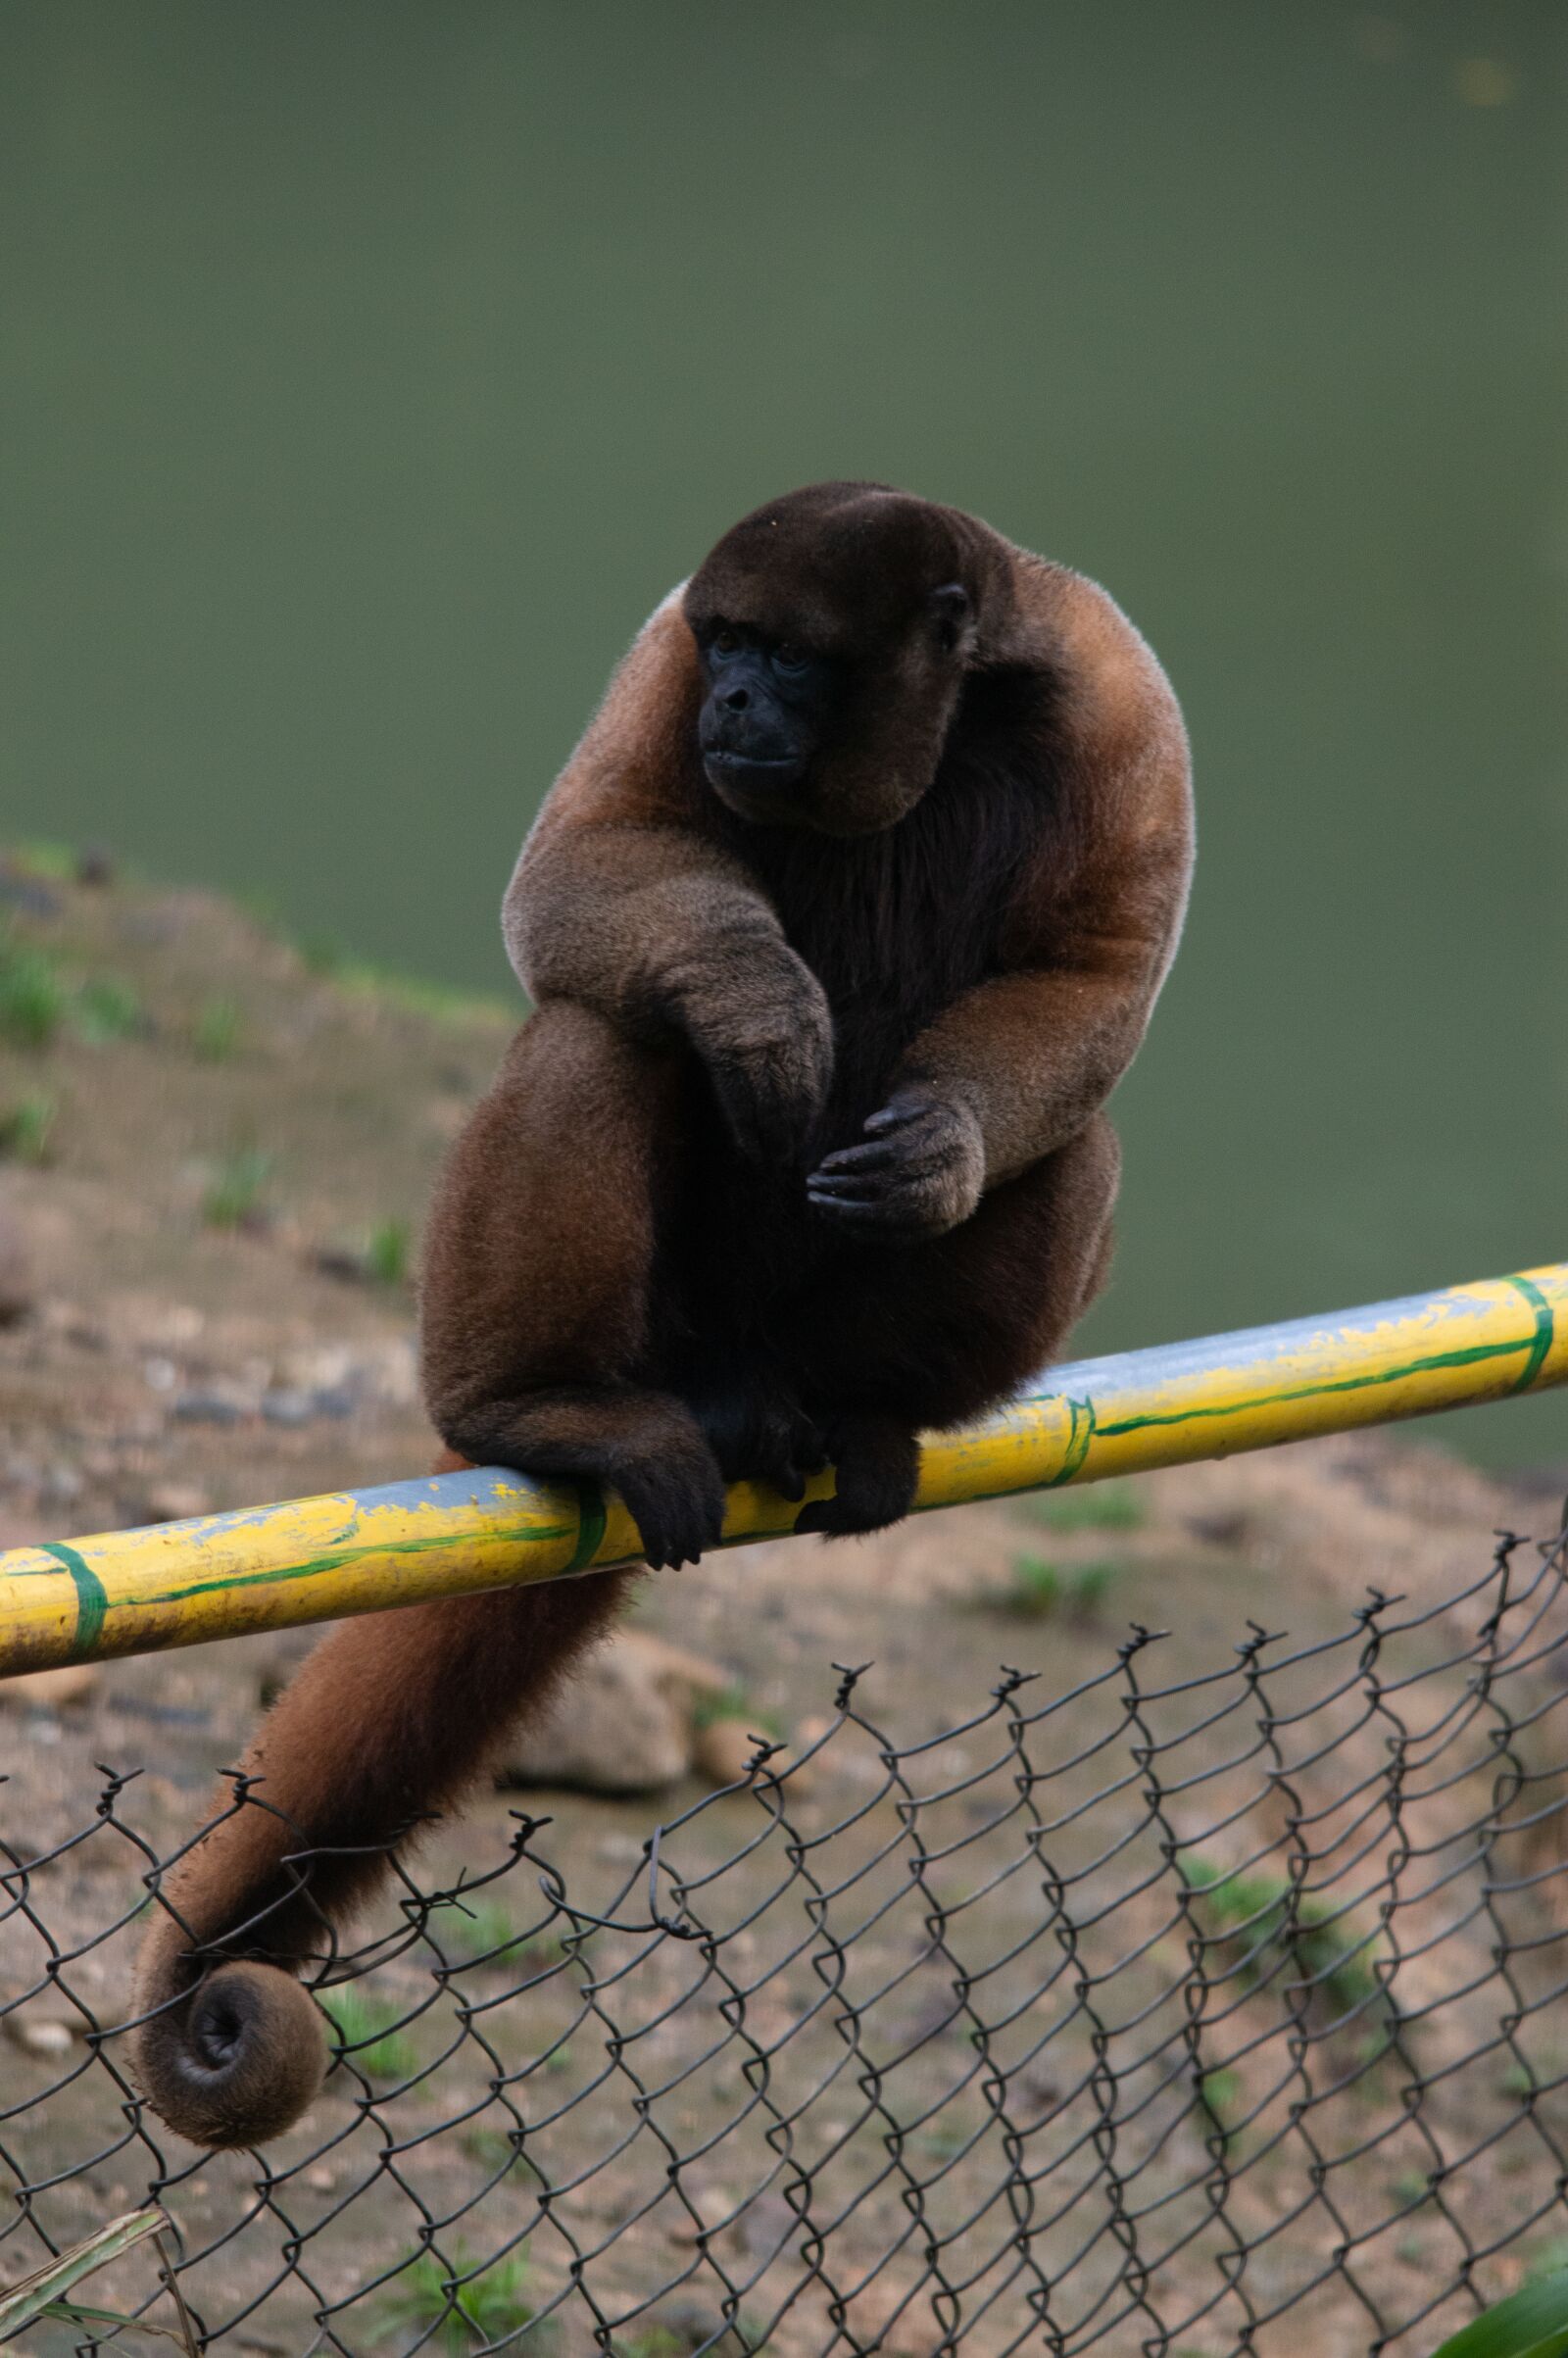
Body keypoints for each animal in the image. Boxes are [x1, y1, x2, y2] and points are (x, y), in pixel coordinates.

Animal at [133, 482, 1193, 2148]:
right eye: (732, 644)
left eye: (792, 658)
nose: (738, 703)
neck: (952, 717)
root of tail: (734, 1375)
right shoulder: (662, 648)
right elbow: (580, 862)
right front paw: (752, 999)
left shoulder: (1118, 694)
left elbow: (1096, 973)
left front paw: (940, 1149)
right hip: (667, 1329)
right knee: (603, 1028)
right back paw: (534, 1405)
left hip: (801, 1333)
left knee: (1069, 1145)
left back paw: (864, 1407)